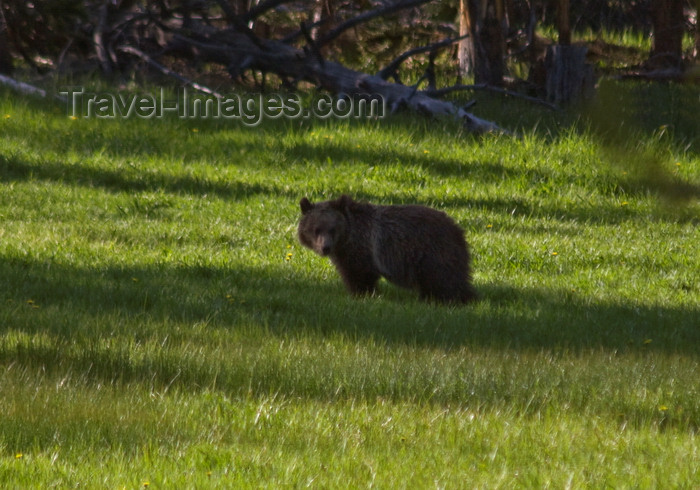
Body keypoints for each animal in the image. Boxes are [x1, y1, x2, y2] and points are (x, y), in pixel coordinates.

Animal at [296, 194, 476, 302]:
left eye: (332, 229)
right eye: (316, 229)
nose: (325, 247)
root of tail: (458, 230)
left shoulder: (362, 252)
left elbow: (359, 276)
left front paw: (362, 294)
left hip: (433, 253)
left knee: (445, 280)